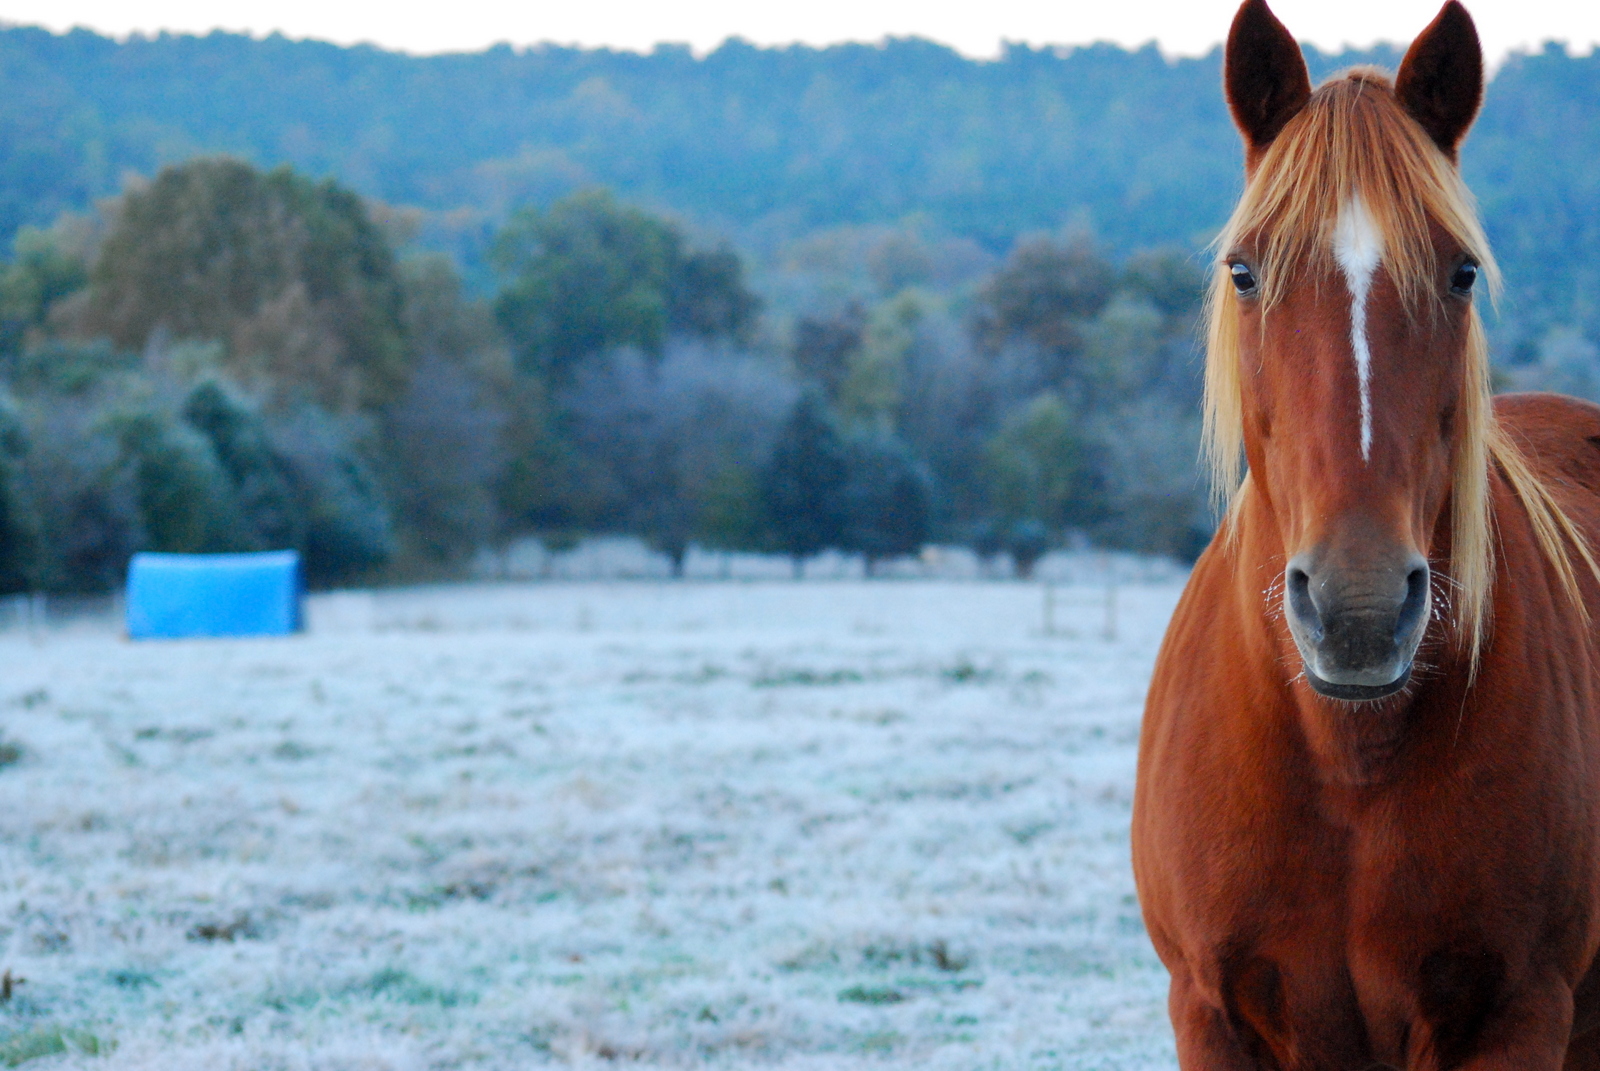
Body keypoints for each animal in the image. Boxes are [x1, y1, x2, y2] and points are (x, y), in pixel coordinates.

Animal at [1131, 2, 1600, 1067]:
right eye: (1245, 270)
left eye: (1461, 272)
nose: (1359, 608)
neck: (1344, 761)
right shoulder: (1209, 1014)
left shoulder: (1518, 1014)